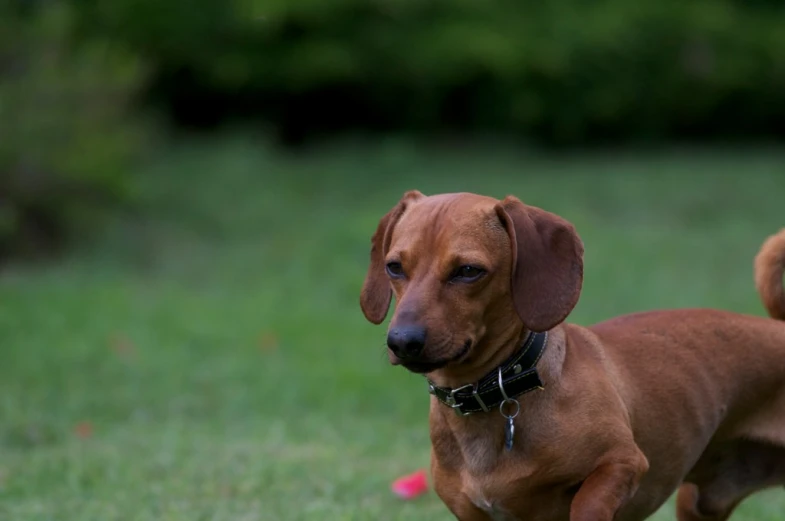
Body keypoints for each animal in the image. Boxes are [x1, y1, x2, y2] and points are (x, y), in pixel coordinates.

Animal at [358, 191, 780, 520]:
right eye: (394, 267)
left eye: (468, 271)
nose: (402, 341)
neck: (496, 397)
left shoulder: (623, 463)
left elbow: (587, 504)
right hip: (696, 504)